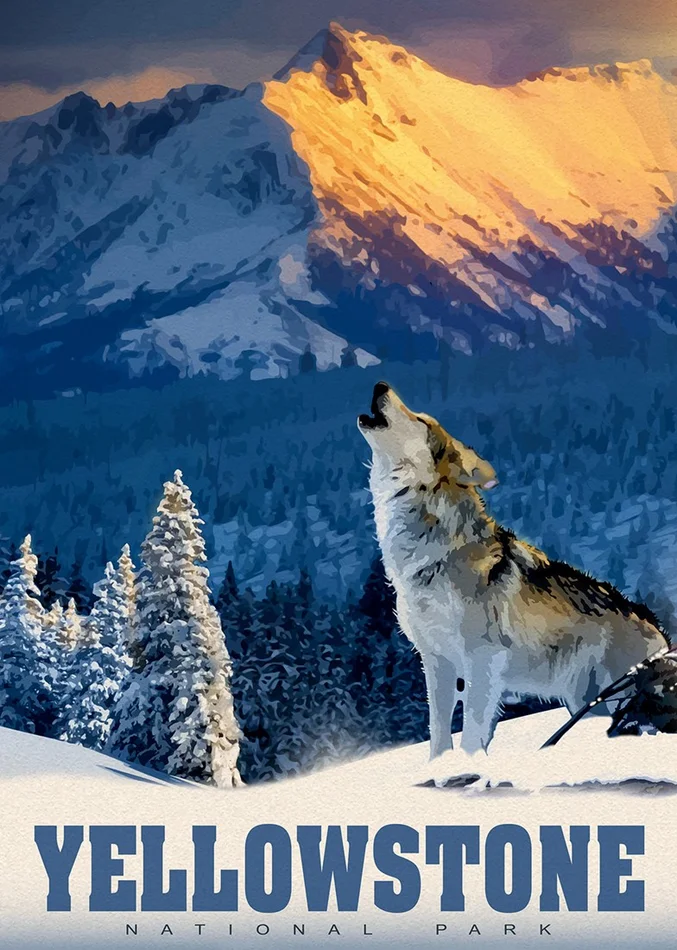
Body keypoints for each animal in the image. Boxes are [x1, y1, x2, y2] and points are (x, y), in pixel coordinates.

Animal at [358, 382, 669, 757]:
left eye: (420, 419)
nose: (380, 385)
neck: (432, 555)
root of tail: (659, 630)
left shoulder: (482, 661)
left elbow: (471, 736)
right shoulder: (436, 663)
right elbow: (439, 737)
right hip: (584, 703)